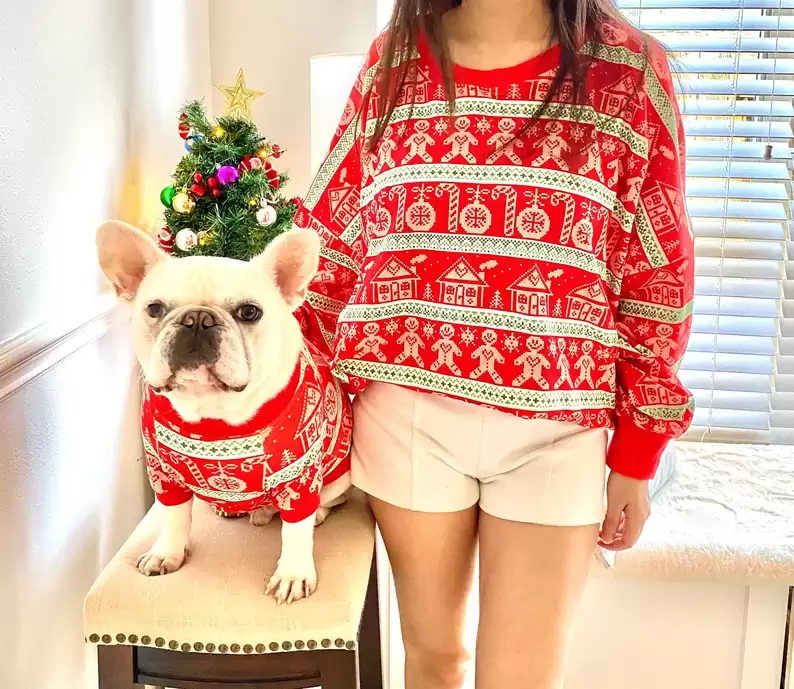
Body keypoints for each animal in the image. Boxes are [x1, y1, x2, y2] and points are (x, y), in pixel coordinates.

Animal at [96, 220, 352, 604]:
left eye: (249, 312)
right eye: (154, 309)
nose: (197, 319)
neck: (210, 411)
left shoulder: (298, 475)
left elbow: (295, 530)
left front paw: (293, 573)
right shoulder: (164, 474)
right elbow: (174, 516)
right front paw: (167, 552)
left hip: (339, 477)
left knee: (321, 504)